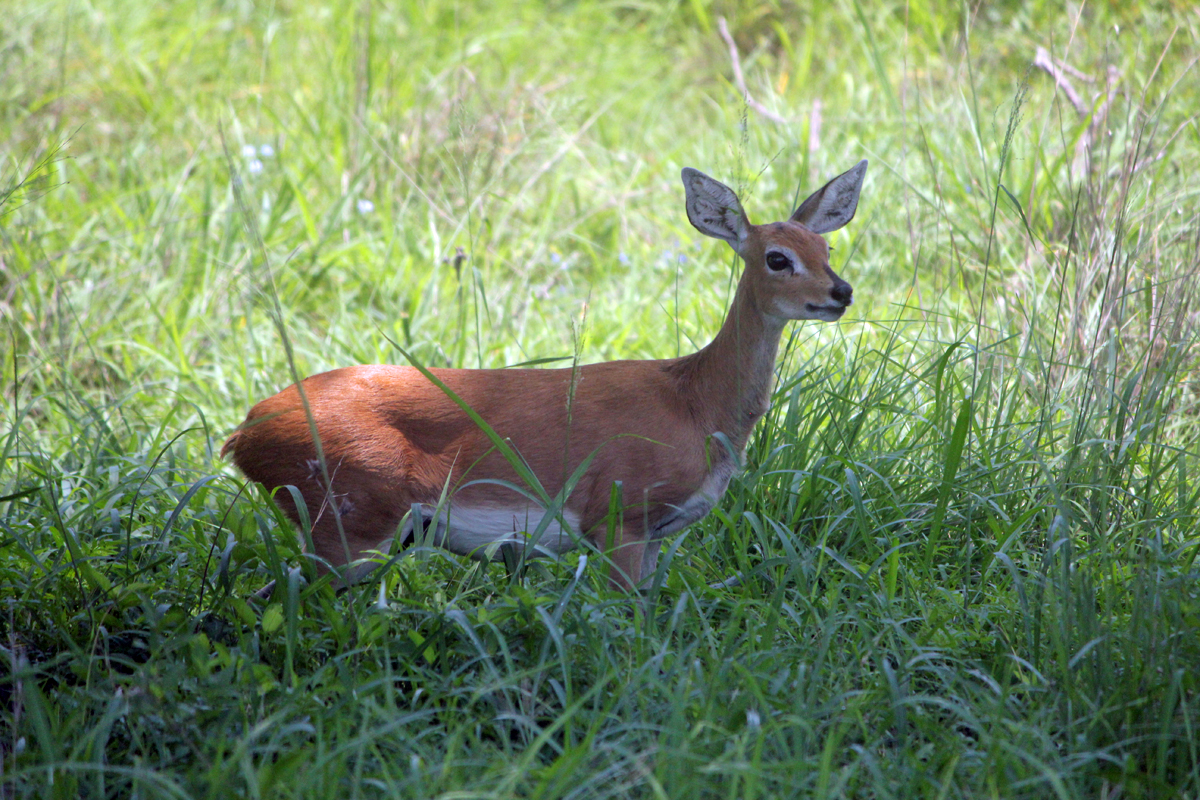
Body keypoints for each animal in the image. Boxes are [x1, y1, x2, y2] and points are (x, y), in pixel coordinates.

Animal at [223, 160, 864, 587]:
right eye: (777, 258)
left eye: (828, 248)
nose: (842, 292)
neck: (695, 403)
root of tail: (241, 434)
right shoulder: (619, 510)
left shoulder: (657, 534)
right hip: (351, 513)